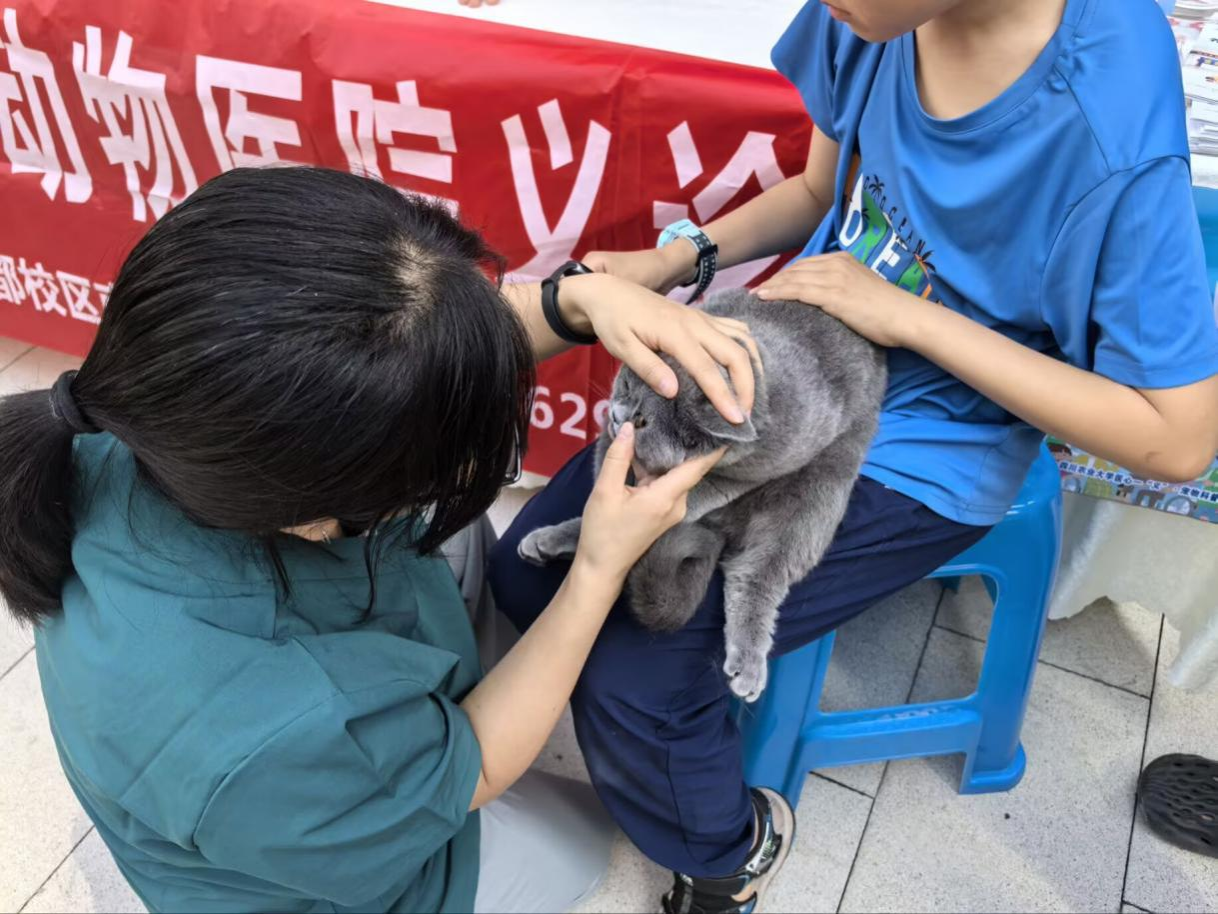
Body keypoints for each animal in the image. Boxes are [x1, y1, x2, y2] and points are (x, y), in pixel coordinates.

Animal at [518, 287, 887, 701]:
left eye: (643, 421)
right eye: (627, 386)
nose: (615, 415)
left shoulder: (779, 455)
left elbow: (721, 483)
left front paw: (682, 495)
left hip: (818, 492)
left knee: (758, 574)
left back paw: (747, 664)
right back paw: (550, 540)